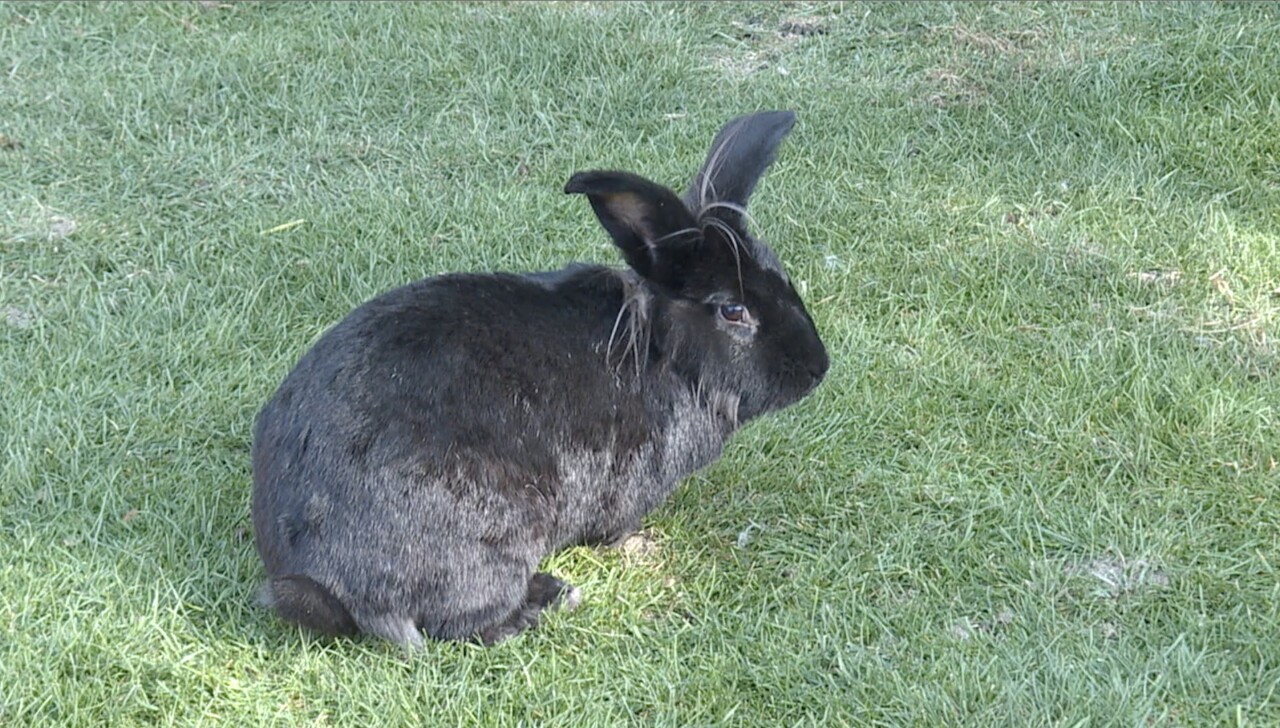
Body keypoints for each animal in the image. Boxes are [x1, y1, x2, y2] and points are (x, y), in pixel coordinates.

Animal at [250, 110, 829, 647]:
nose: (817, 369)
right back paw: (550, 597)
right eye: (733, 311)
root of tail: (326, 584)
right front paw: (632, 544)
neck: (664, 353)